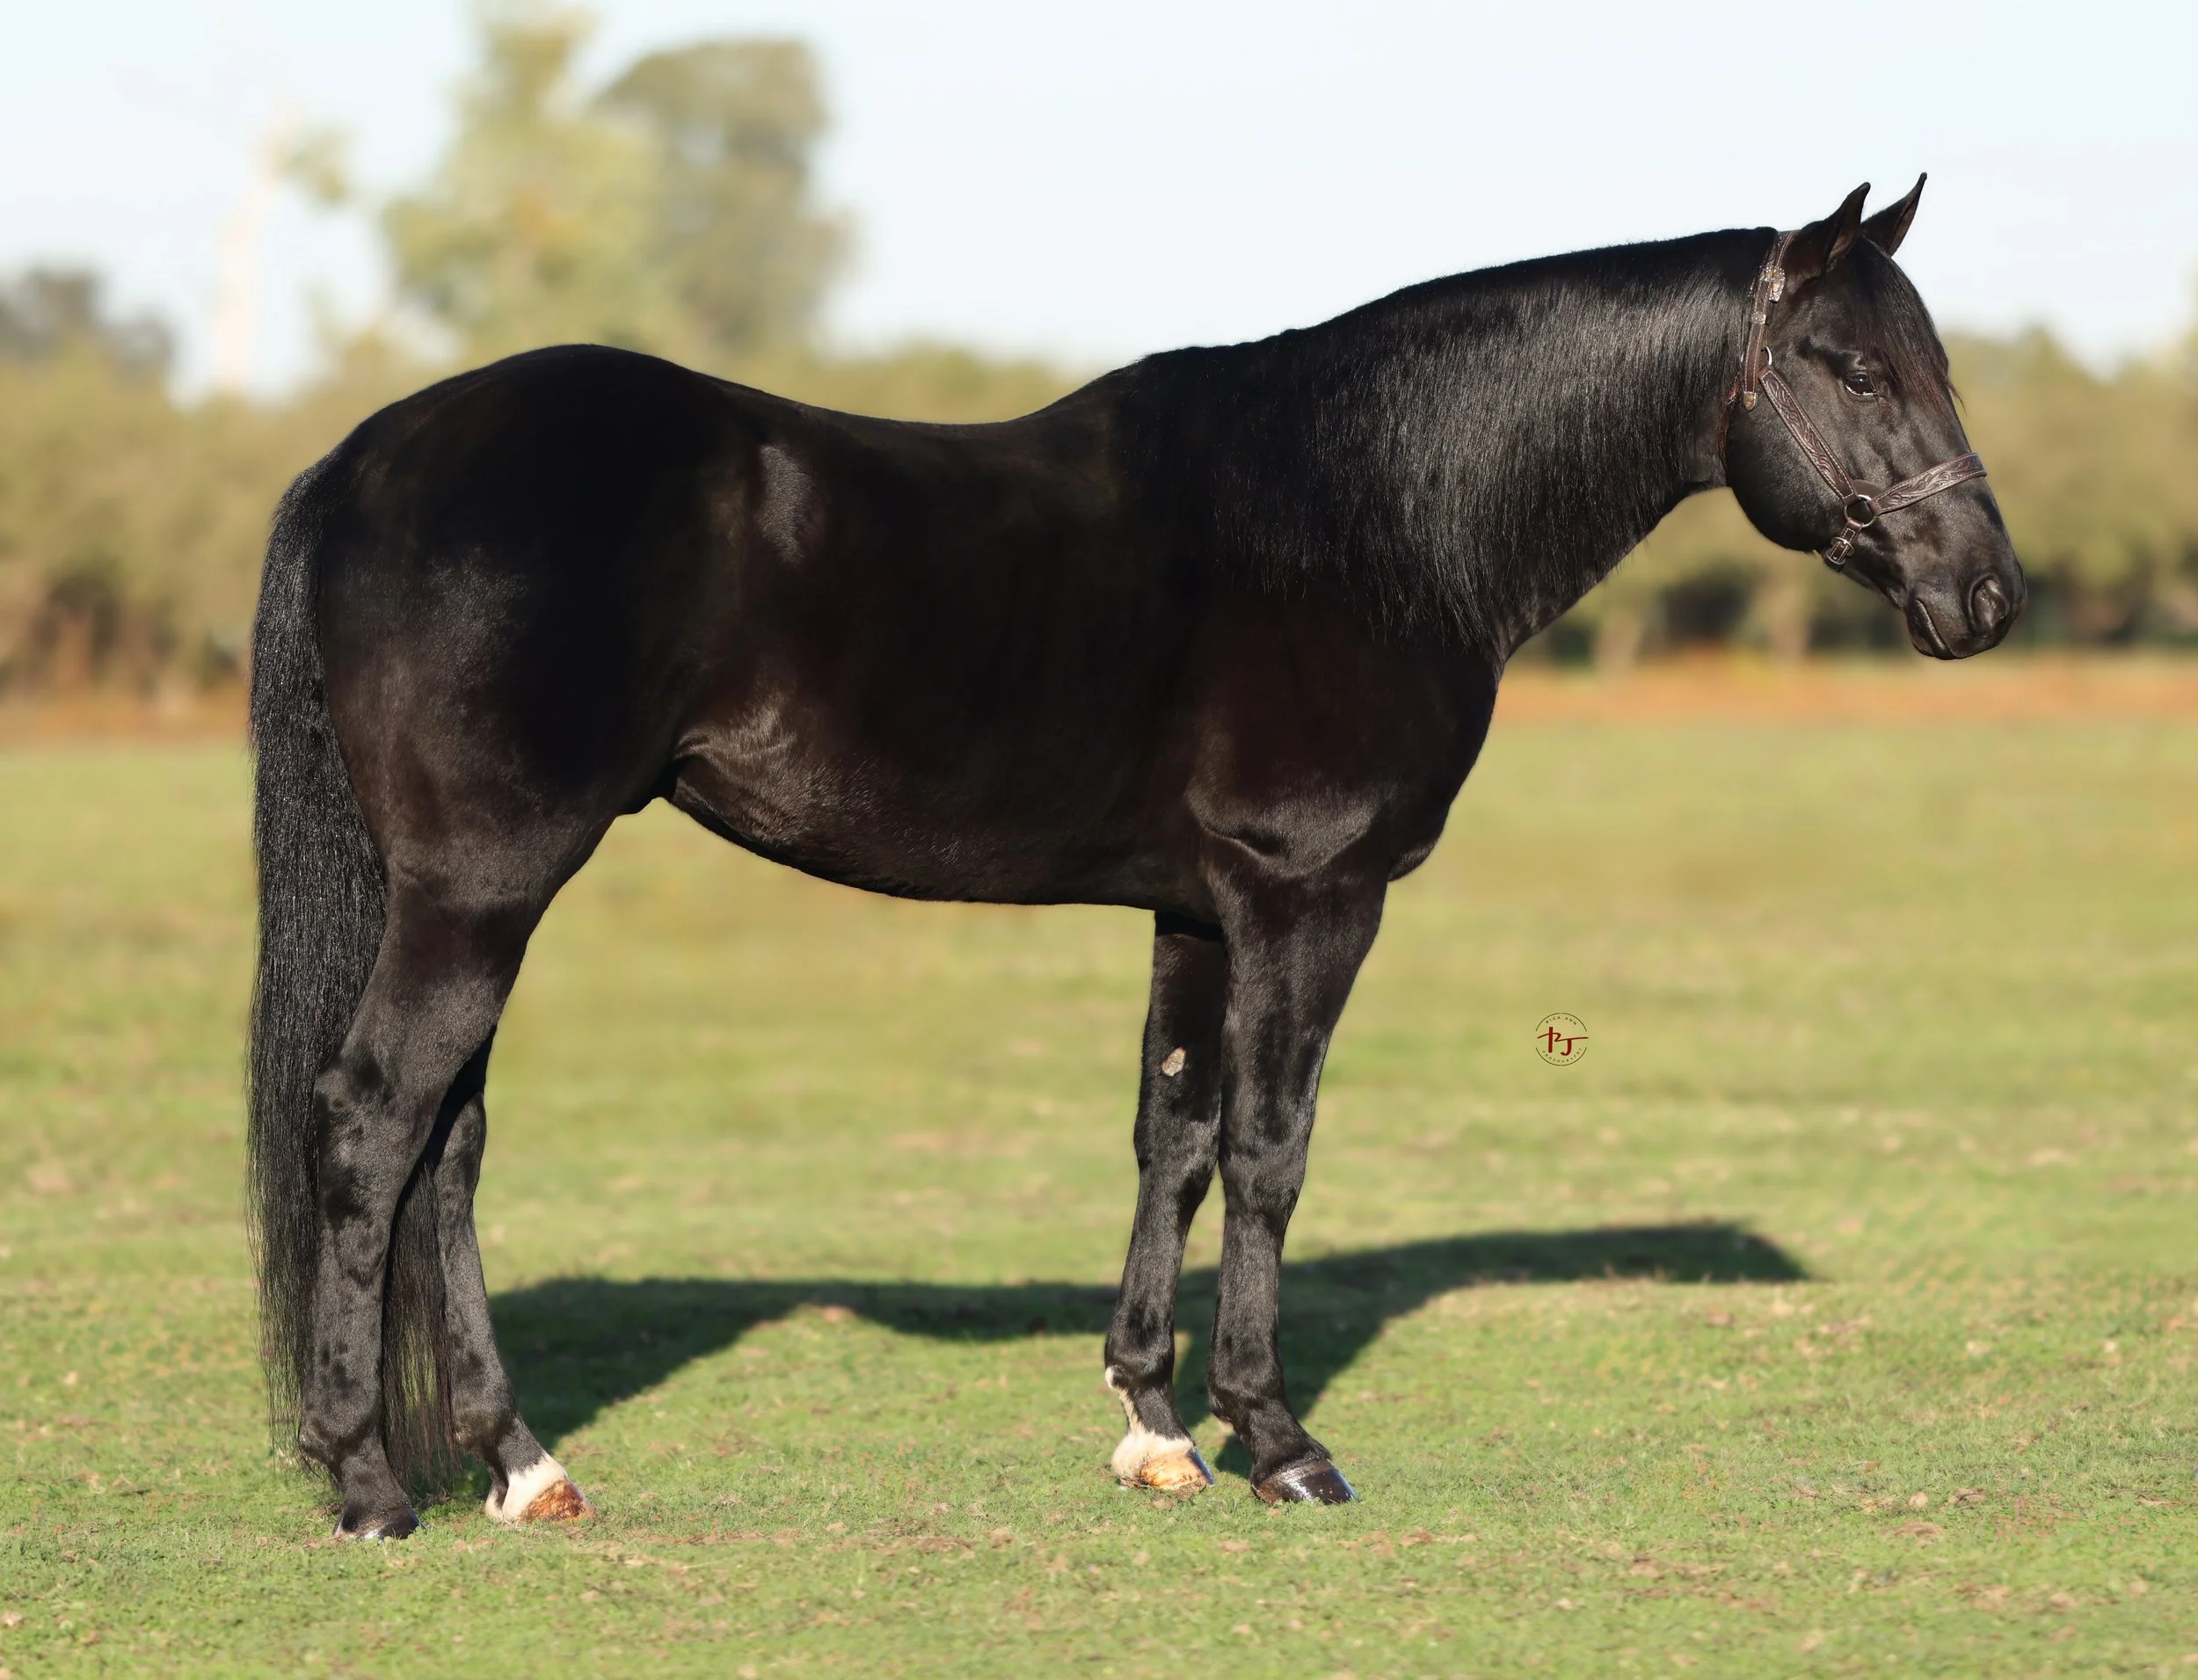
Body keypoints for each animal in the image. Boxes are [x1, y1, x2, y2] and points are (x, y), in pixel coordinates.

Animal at [247, 177, 2022, 1538]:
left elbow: (1173, 1140)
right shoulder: (1310, 897)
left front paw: (1158, 1427)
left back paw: (518, 1462)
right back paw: (368, 1483)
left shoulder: (1196, 912)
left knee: (448, 1148)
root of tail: (367, 459)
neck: (1370, 517)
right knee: (373, 1125)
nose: (1986, 596)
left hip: (475, 896)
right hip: (481, 891)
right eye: (1850, 369)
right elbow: (1272, 1149)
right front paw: (1280, 1439)